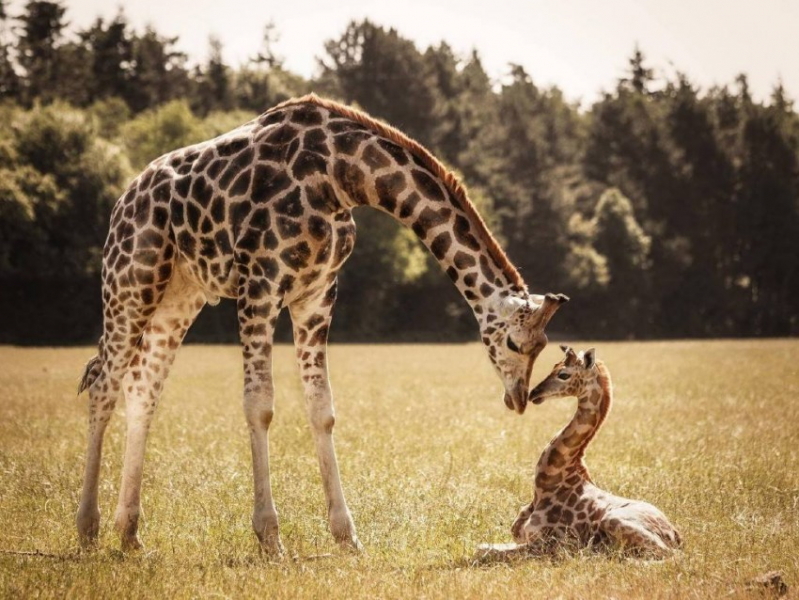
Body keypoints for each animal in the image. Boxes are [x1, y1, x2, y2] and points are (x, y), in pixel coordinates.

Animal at [76, 92, 568, 552]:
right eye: (516, 345)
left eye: (543, 347)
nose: (518, 399)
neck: (341, 175)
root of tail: (123, 201)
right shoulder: (260, 283)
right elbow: (260, 404)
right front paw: (270, 537)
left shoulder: (317, 294)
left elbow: (321, 408)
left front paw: (346, 534)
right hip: (131, 280)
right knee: (104, 387)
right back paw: (87, 528)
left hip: (179, 295)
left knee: (142, 388)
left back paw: (130, 533)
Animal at [482, 344, 680, 560]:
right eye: (553, 367)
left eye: (563, 374)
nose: (533, 393)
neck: (545, 486)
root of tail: (676, 536)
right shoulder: (521, 538)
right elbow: (484, 547)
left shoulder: (548, 545)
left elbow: (483, 551)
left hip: (614, 520)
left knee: (670, 556)